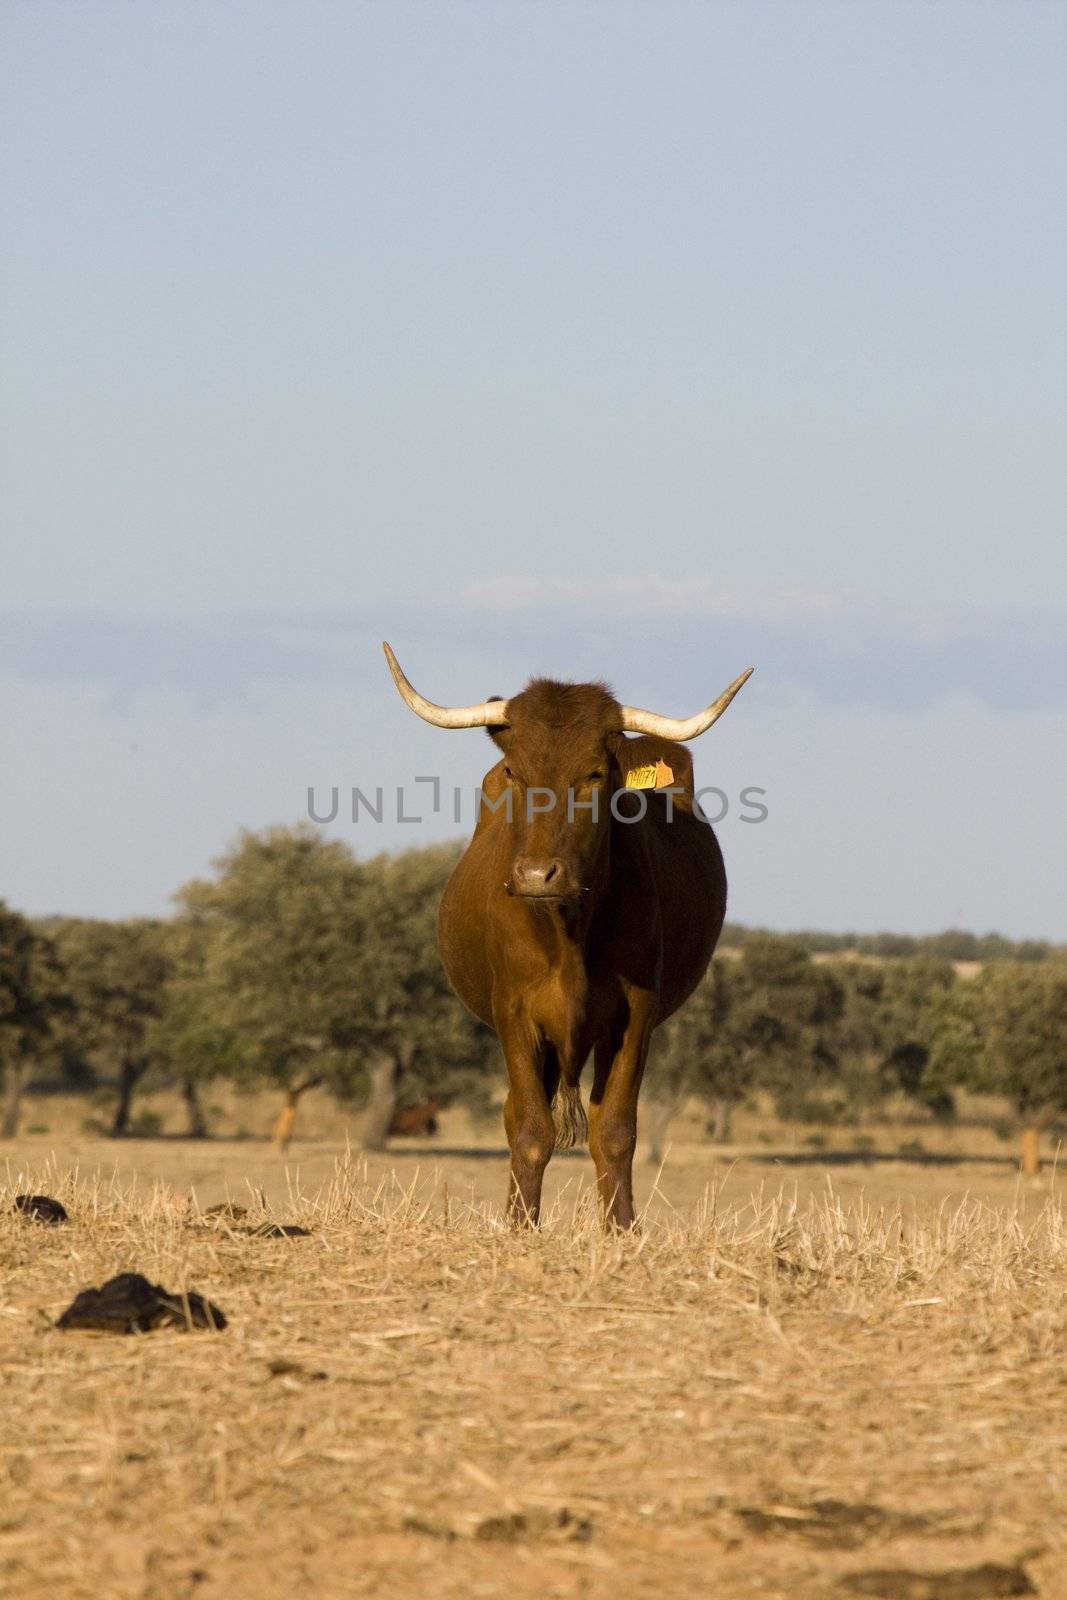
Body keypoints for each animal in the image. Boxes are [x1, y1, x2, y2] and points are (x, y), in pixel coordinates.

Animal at [383, 643, 751, 1228]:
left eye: (596, 774)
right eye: (515, 771)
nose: (537, 875)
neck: (568, 933)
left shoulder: (635, 1014)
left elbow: (615, 1131)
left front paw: (620, 1230)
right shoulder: (514, 1012)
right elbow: (532, 1130)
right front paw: (520, 1228)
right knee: (517, 1115)